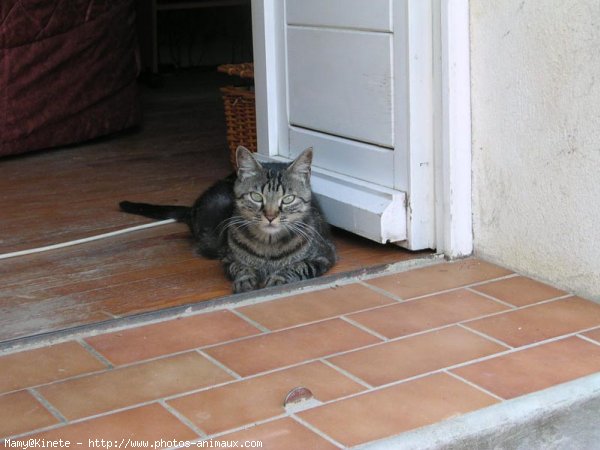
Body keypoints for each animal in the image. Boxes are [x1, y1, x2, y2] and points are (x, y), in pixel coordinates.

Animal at [120, 146, 338, 294]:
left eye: (288, 199)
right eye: (256, 197)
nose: (270, 216)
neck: (269, 246)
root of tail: (193, 207)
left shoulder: (324, 255)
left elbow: (298, 266)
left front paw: (278, 278)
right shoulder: (227, 258)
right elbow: (240, 267)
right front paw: (245, 279)